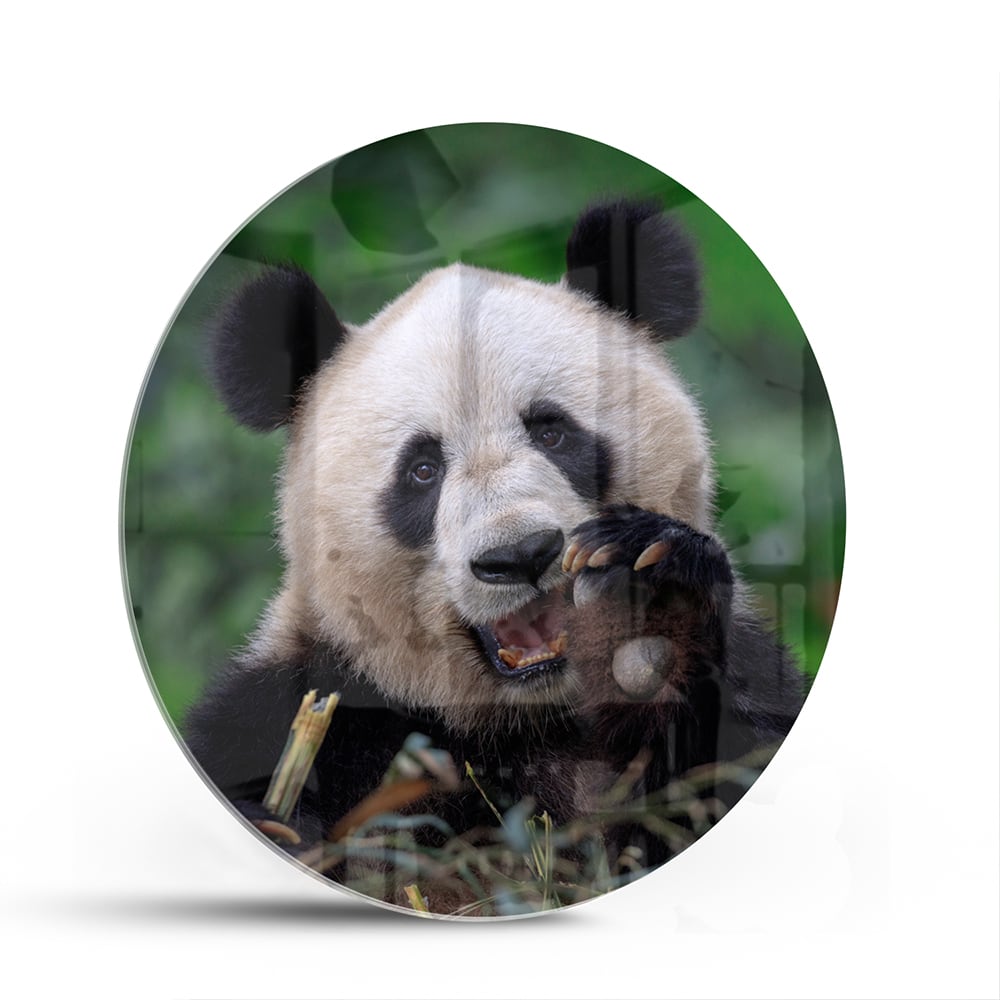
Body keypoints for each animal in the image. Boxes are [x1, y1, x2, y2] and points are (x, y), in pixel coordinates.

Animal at [185, 198, 806, 913]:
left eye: (553, 431)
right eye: (422, 470)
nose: (520, 555)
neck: (520, 721)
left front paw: (652, 604)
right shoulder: (308, 705)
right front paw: (280, 826)